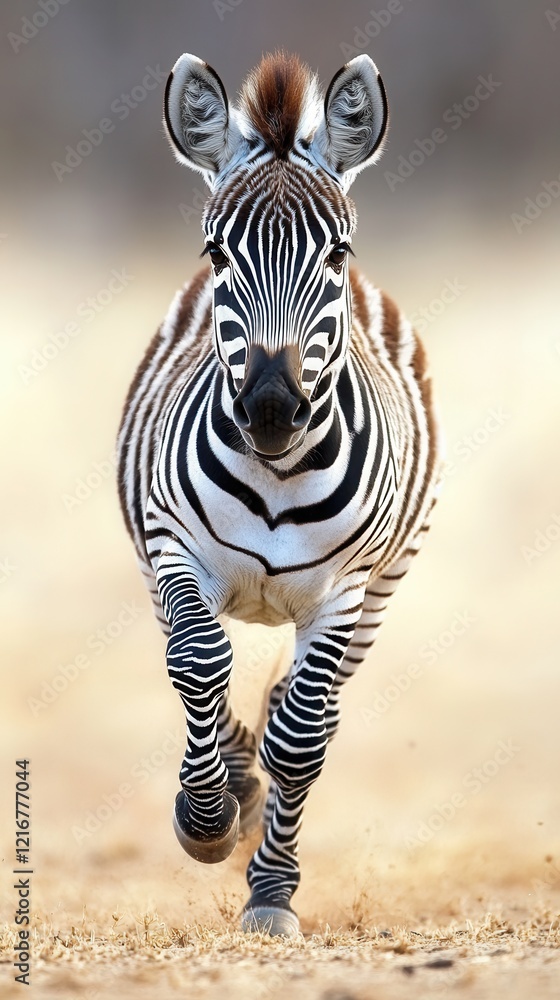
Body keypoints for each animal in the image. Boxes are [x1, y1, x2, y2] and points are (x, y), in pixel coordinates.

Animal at [117, 50, 441, 937]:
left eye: (336, 253)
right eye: (218, 253)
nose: (269, 406)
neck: (278, 472)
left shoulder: (347, 588)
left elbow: (299, 735)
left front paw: (271, 894)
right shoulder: (174, 548)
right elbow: (197, 660)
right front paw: (206, 819)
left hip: (382, 592)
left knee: (312, 710)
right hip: (155, 559)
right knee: (195, 663)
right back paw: (235, 788)